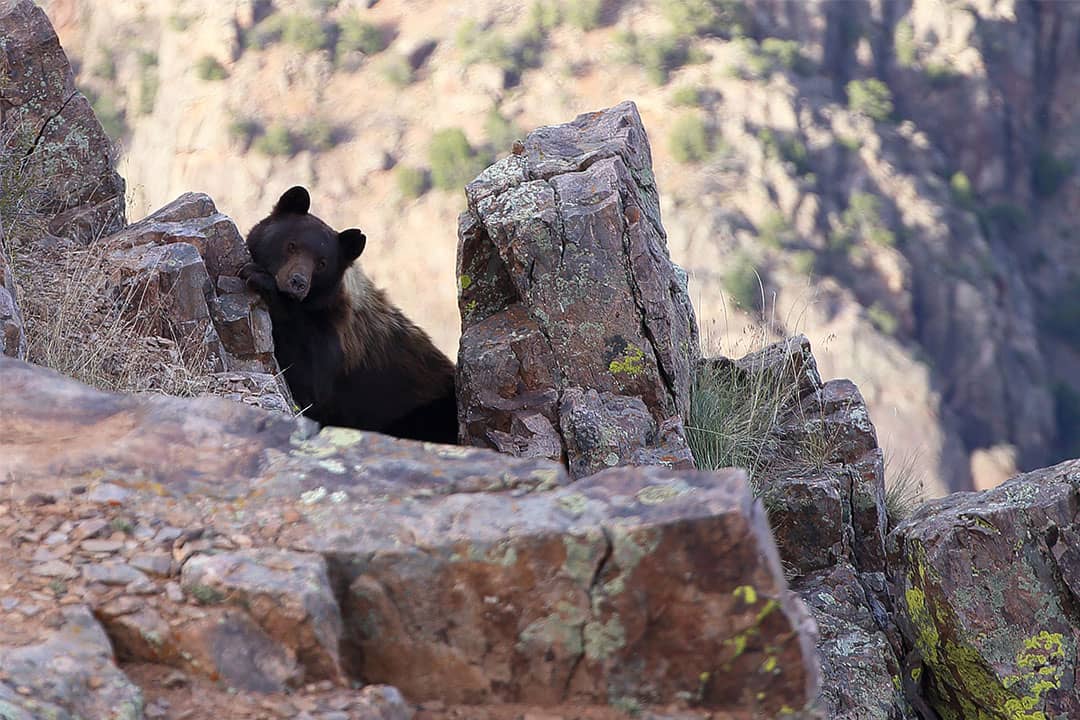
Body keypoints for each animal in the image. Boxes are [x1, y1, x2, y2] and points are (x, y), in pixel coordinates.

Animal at [243, 185, 457, 444]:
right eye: (291, 245)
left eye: (322, 263)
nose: (297, 282)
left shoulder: (336, 339)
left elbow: (311, 386)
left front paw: (260, 279)